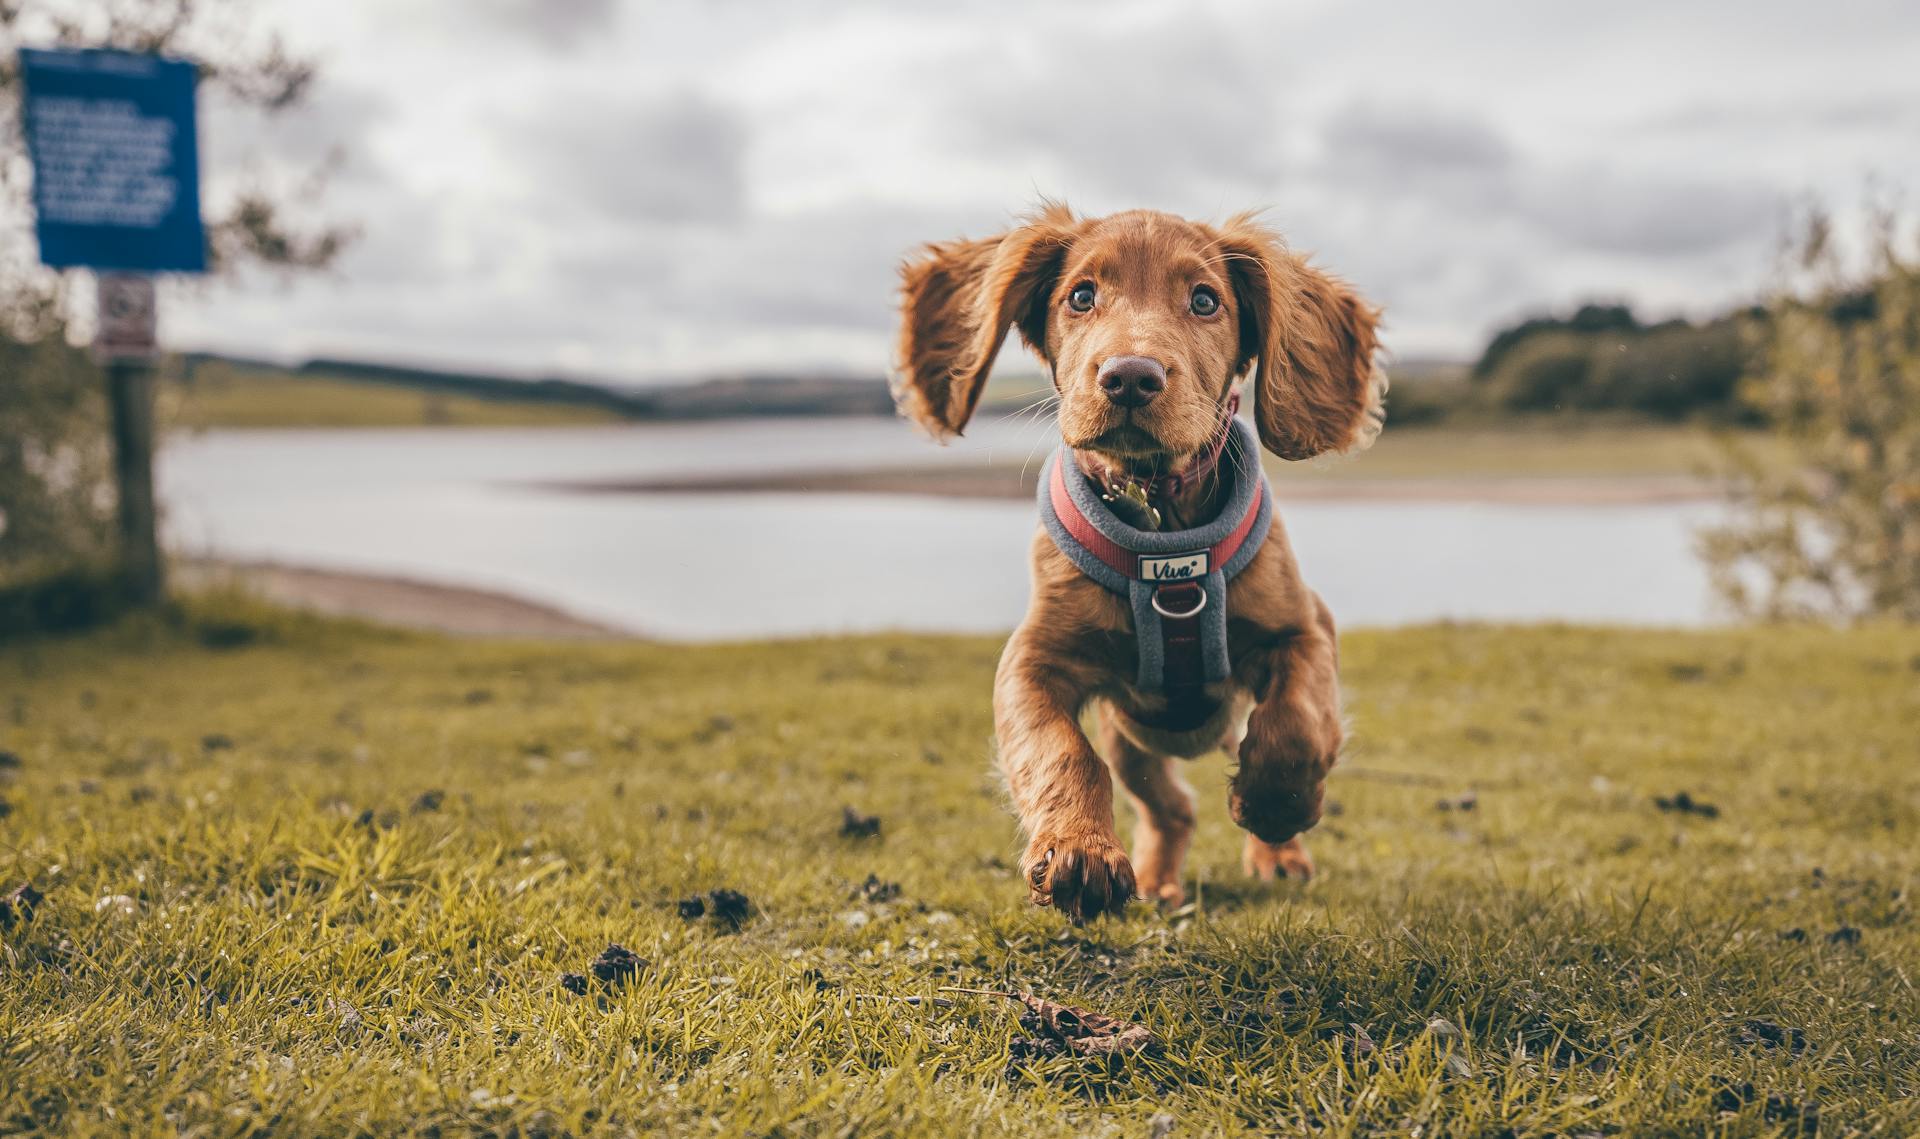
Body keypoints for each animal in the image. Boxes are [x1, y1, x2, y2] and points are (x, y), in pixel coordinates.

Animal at [890, 204, 1390, 918]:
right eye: (1080, 296)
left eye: (1205, 300)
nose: (1130, 376)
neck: (1162, 523)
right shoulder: (1032, 661)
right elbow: (1059, 750)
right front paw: (1079, 852)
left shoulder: (1306, 628)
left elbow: (1296, 723)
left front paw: (1274, 807)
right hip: (1132, 742)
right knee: (1170, 807)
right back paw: (1157, 880)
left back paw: (1279, 857)